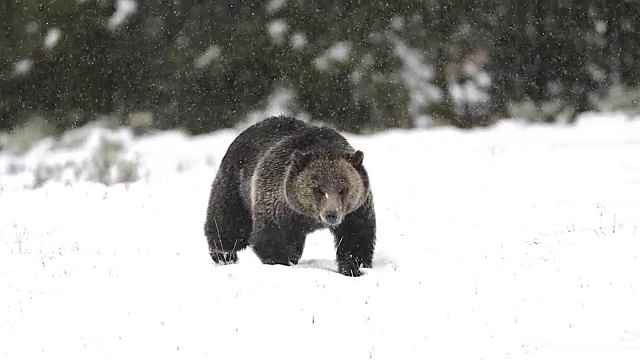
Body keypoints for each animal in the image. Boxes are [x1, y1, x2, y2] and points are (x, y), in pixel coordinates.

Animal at [204, 115, 376, 276]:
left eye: (343, 189)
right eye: (318, 189)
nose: (331, 214)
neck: (308, 216)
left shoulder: (356, 211)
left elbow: (356, 238)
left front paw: (354, 267)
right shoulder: (277, 205)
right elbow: (271, 240)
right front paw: (280, 261)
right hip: (235, 185)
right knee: (228, 222)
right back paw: (224, 255)